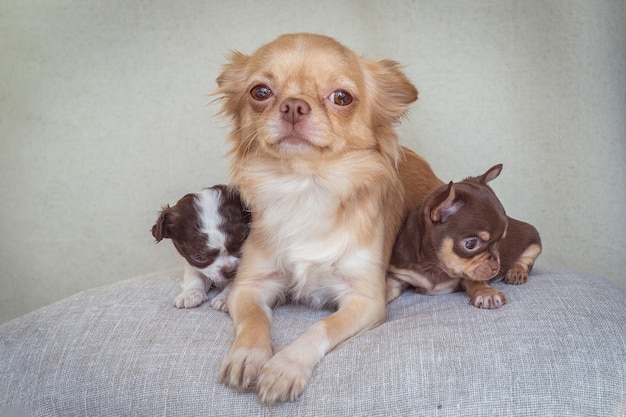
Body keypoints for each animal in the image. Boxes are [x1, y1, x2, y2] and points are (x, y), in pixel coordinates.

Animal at [212, 34, 442, 402]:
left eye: (341, 97)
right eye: (260, 92)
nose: (294, 105)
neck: (306, 185)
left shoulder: (363, 302)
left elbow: (320, 327)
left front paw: (285, 367)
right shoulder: (252, 285)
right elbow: (254, 320)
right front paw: (247, 354)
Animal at [382, 164, 540, 308]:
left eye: (500, 242)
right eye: (470, 244)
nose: (496, 267)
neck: (434, 264)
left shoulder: (469, 274)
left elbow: (475, 280)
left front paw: (486, 293)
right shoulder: (399, 277)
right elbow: (386, 288)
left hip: (534, 239)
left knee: (525, 259)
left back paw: (516, 271)